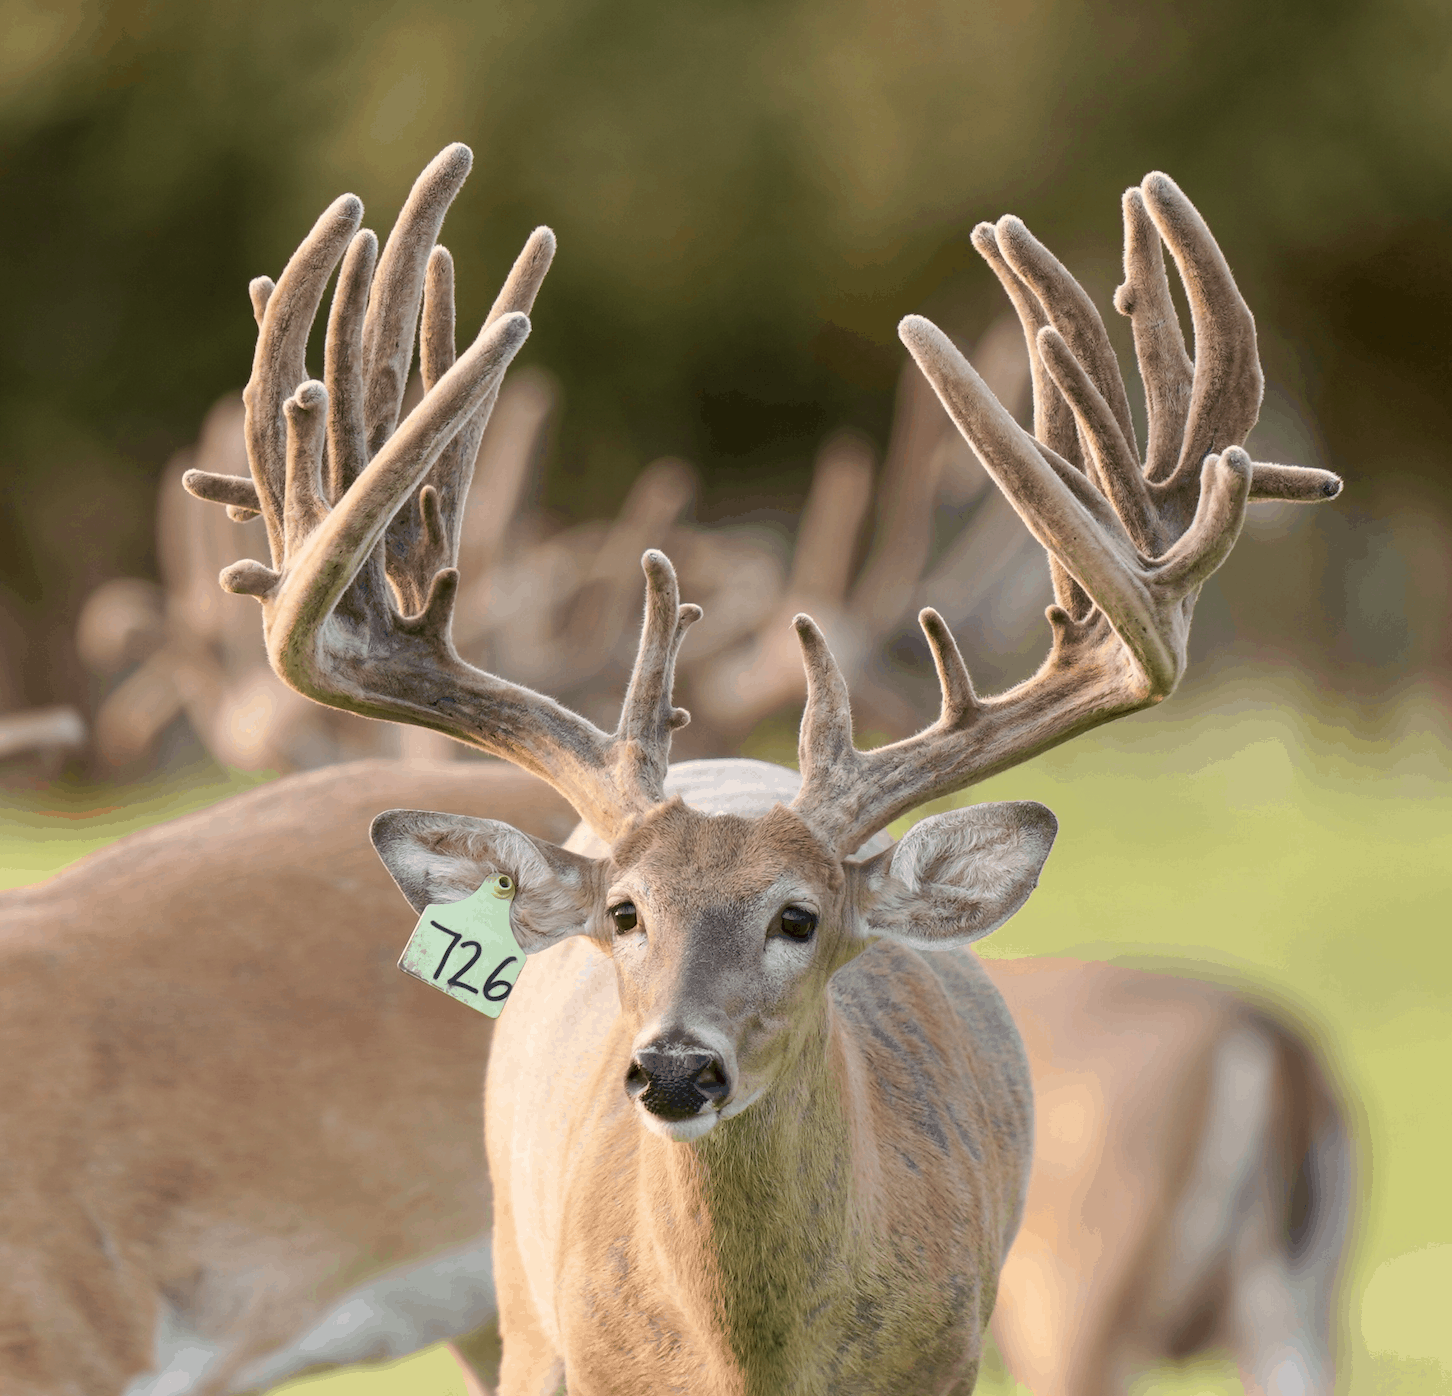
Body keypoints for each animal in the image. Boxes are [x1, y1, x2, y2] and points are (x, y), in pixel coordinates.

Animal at [175, 137, 1342, 1396]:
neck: (748, 1363)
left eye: (799, 917)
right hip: (523, 1305)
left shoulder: (954, 1353)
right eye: (625, 913)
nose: (677, 1071)